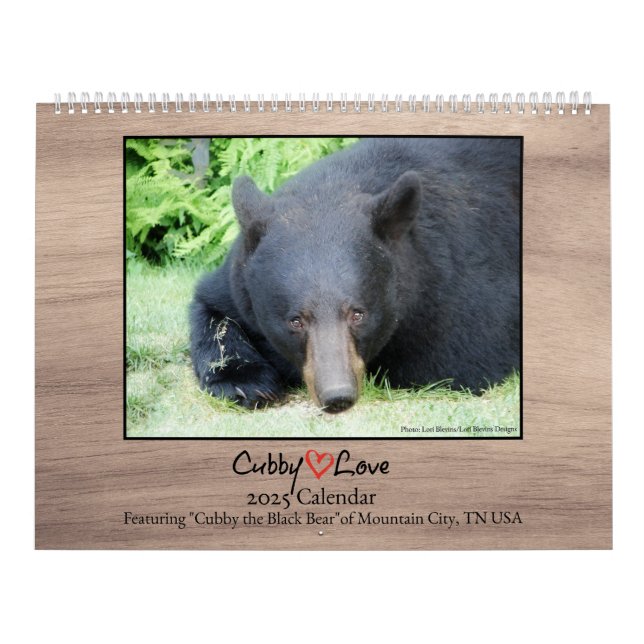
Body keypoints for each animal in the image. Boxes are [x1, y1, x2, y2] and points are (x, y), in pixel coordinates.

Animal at [190, 137, 520, 413]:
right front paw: (244, 383)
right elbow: (213, 310)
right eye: (295, 321)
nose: (337, 396)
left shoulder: (457, 288)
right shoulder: (238, 279)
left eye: (358, 314)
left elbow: (452, 361)